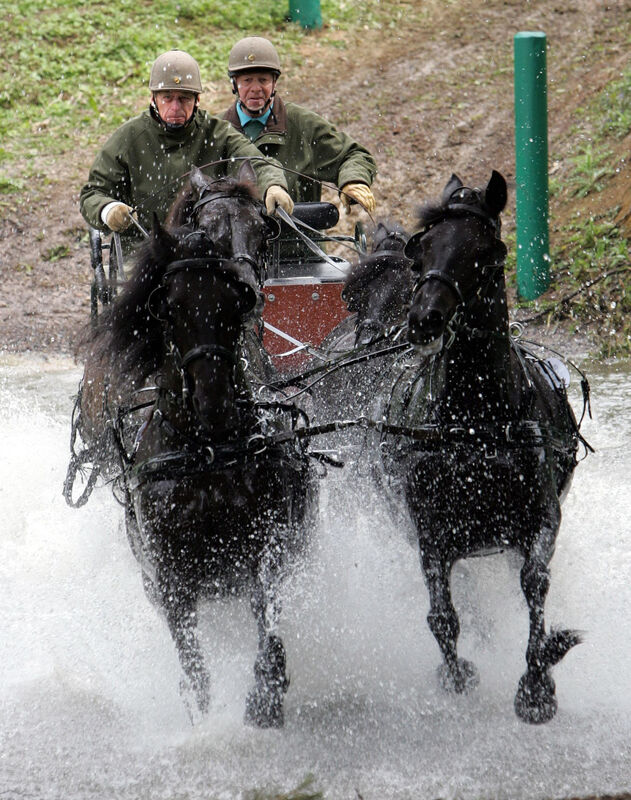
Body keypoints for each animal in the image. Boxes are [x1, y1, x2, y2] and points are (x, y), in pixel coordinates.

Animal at [67, 163, 318, 727]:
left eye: (264, 230)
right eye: (168, 307)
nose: (213, 397)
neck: (208, 451)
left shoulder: (271, 544)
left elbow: (270, 622)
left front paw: (265, 699)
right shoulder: (169, 578)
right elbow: (194, 667)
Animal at [315, 172, 585, 723]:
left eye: (486, 252)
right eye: (423, 250)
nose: (425, 319)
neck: (474, 421)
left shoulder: (543, 517)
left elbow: (534, 582)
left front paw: (538, 681)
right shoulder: (428, 530)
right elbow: (443, 613)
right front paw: (457, 674)